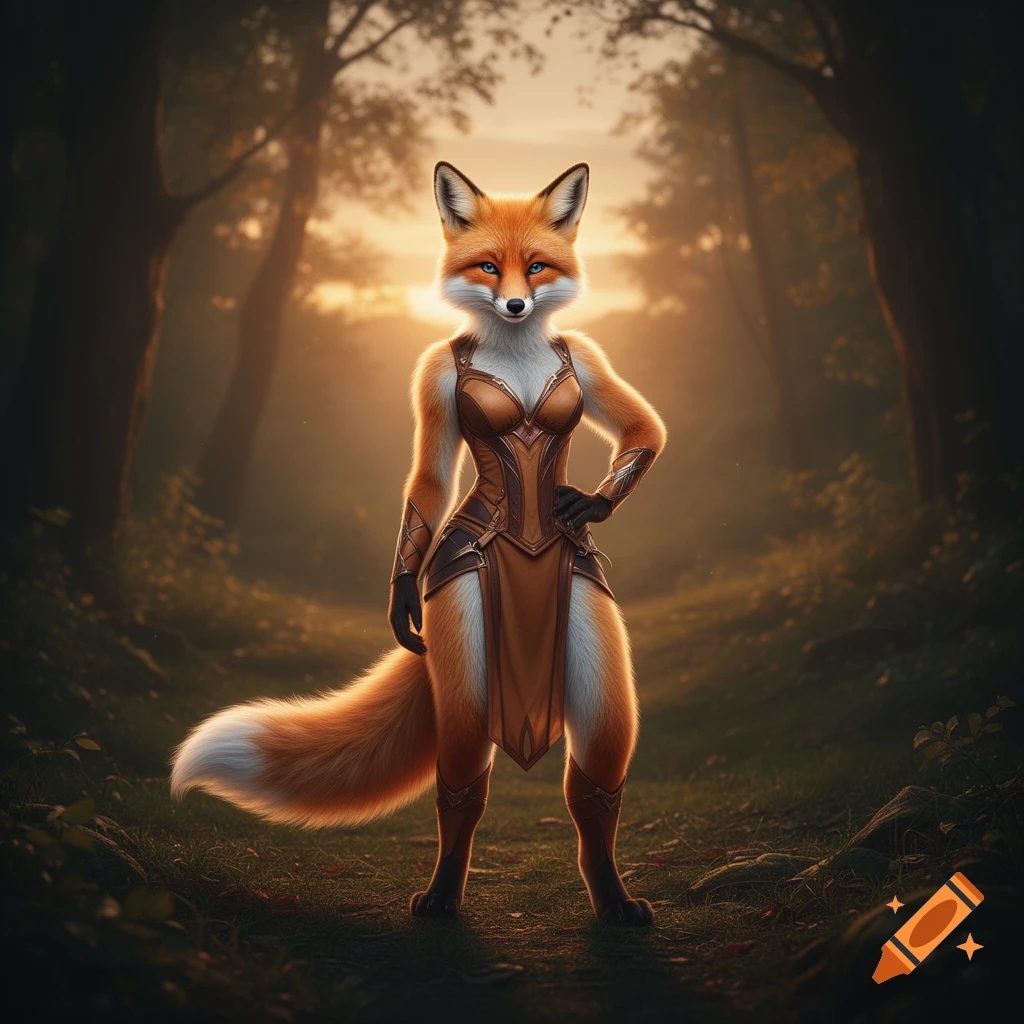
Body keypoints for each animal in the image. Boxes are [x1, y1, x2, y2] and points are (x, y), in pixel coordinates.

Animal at [170, 161, 668, 926]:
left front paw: (582, 504)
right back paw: (439, 898)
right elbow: (428, 483)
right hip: (461, 646)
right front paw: (399, 601)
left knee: (590, 775)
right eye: (488, 266)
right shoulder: (436, 377)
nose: (516, 305)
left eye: (537, 266)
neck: (515, 348)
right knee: (461, 778)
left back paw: (606, 901)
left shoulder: (586, 359)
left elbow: (647, 429)